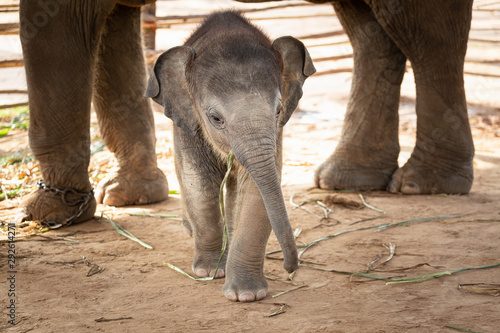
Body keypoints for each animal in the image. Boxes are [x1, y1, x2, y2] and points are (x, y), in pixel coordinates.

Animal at [146, 11, 314, 300]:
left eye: (278, 110)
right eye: (215, 118)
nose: (290, 268)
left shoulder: (275, 135)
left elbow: (255, 190)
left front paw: (246, 295)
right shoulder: (187, 124)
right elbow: (198, 184)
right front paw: (208, 271)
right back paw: (190, 231)